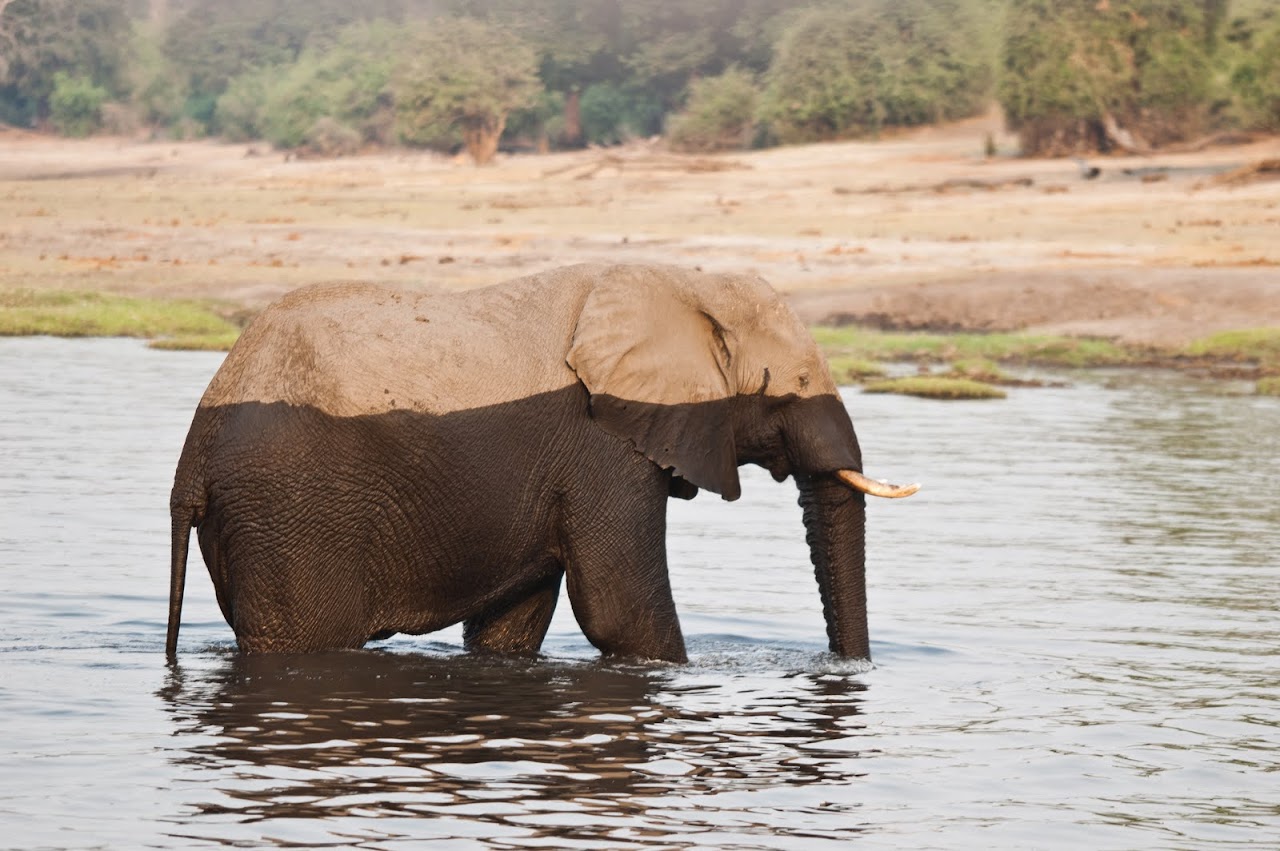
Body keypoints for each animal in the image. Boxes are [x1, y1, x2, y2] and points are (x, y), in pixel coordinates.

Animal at [166, 263, 917, 663]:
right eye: (794, 385)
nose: (845, 670)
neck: (686, 281)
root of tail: (193, 450)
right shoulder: (603, 443)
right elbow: (622, 612)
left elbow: (511, 625)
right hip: (291, 510)